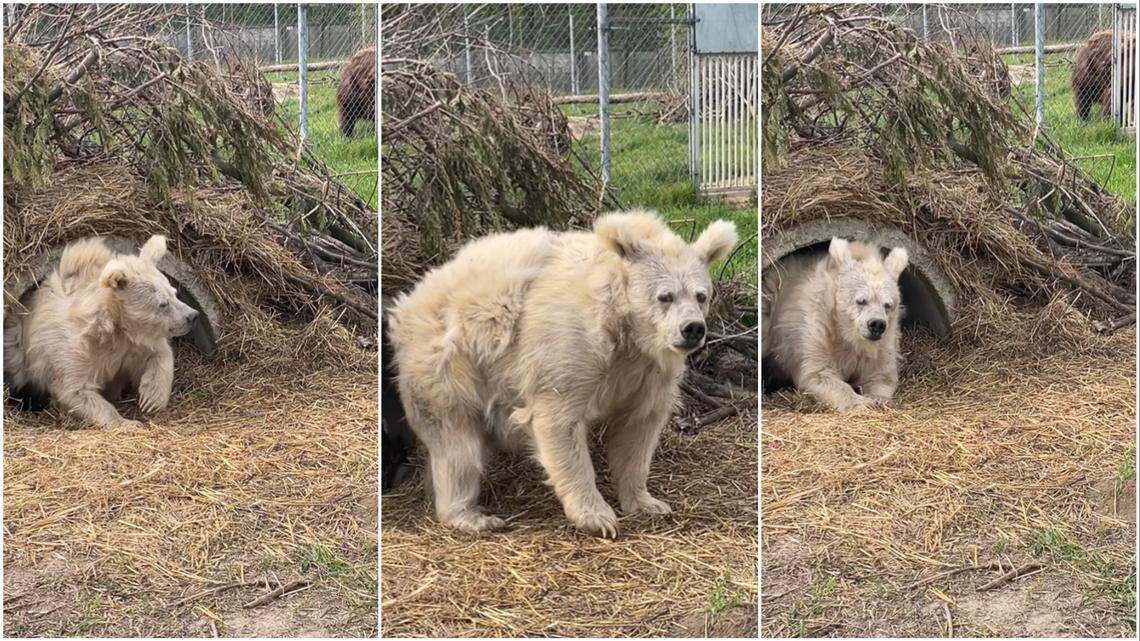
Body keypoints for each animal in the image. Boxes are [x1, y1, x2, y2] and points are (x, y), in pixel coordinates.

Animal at [3, 235, 198, 428]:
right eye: (162, 303)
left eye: (174, 293)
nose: (192, 316)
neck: (112, 329)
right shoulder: (72, 350)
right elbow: (75, 389)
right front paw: (128, 422)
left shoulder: (132, 346)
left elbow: (159, 354)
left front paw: (151, 398)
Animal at [387, 211, 737, 537]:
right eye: (665, 296)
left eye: (701, 295)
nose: (692, 329)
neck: (623, 328)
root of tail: (408, 303)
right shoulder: (569, 346)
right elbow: (558, 420)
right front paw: (598, 517)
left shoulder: (647, 370)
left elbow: (638, 428)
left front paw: (648, 502)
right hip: (449, 366)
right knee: (457, 445)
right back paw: (472, 516)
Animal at [761, 237, 907, 413]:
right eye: (861, 301)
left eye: (887, 305)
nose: (877, 324)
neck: (846, 333)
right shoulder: (818, 330)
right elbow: (819, 373)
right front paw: (863, 402)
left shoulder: (883, 343)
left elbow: (881, 375)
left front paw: (876, 399)